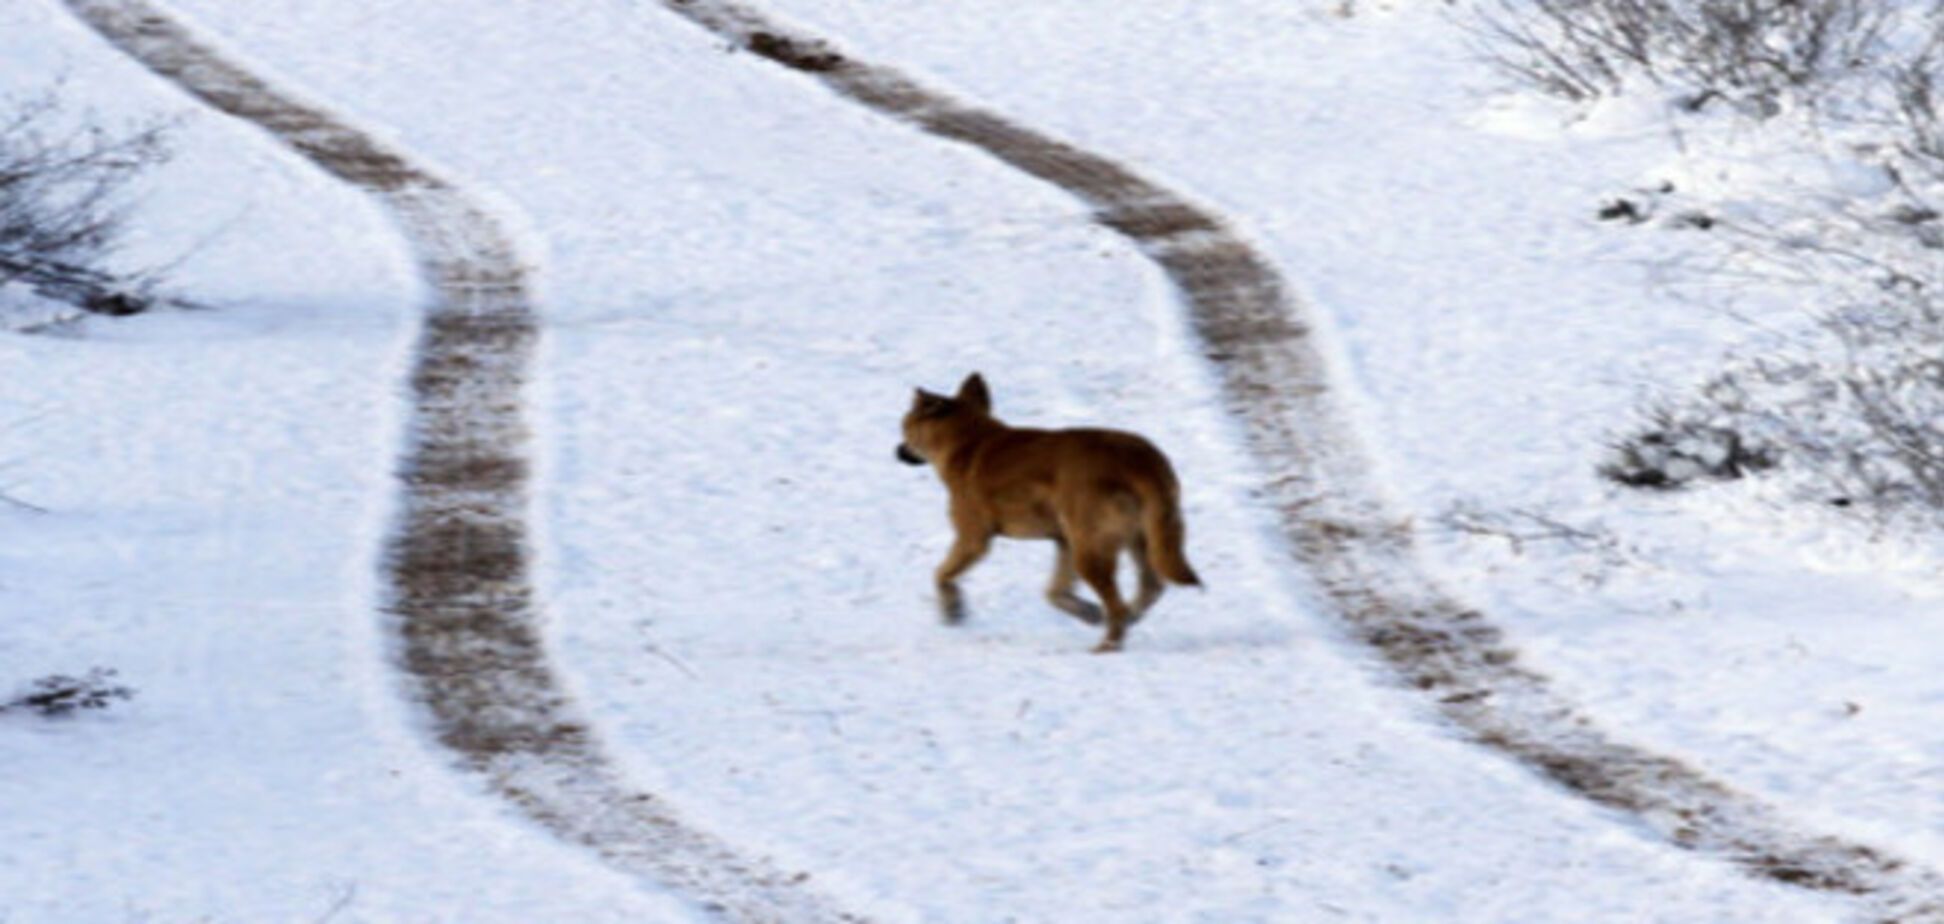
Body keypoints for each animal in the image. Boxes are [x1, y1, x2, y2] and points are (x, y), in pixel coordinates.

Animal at [898, 373, 1197, 649]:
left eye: (904, 427)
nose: (897, 451)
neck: (969, 442)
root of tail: (1139, 461)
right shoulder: (1063, 540)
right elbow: (1054, 593)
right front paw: (1087, 612)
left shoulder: (973, 538)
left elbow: (941, 574)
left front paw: (952, 610)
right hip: (1138, 538)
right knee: (1151, 587)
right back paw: (1126, 618)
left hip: (1091, 550)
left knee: (1119, 605)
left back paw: (1107, 646)